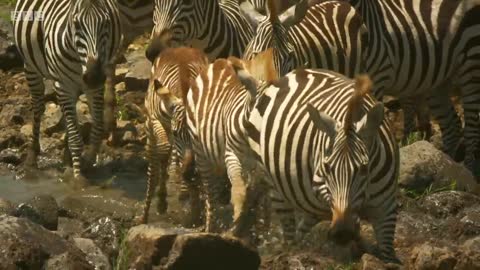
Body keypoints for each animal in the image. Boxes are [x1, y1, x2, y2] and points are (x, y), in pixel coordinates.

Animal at [13, 0, 122, 182]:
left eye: (106, 22)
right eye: (77, 24)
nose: (93, 76)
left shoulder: (95, 87)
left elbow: (97, 129)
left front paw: (87, 162)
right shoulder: (63, 85)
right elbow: (76, 138)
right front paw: (78, 179)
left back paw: (66, 156)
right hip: (31, 66)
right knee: (38, 107)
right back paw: (32, 156)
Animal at [142, 45, 210, 225]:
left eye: (197, 135)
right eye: (175, 132)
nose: (190, 173)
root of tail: (181, 47)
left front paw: (194, 208)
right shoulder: (156, 119)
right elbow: (164, 150)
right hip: (153, 123)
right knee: (155, 162)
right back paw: (148, 211)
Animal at [240, 66, 402, 262]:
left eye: (364, 168)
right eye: (327, 168)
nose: (342, 232)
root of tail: (293, 73)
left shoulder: (387, 208)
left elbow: (387, 253)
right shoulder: (320, 187)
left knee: (302, 228)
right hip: (273, 184)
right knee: (288, 228)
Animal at [346, 0, 480, 176]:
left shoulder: (379, 75)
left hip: (470, 67)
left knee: (471, 128)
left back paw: (469, 171)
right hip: (438, 81)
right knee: (451, 126)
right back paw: (449, 168)